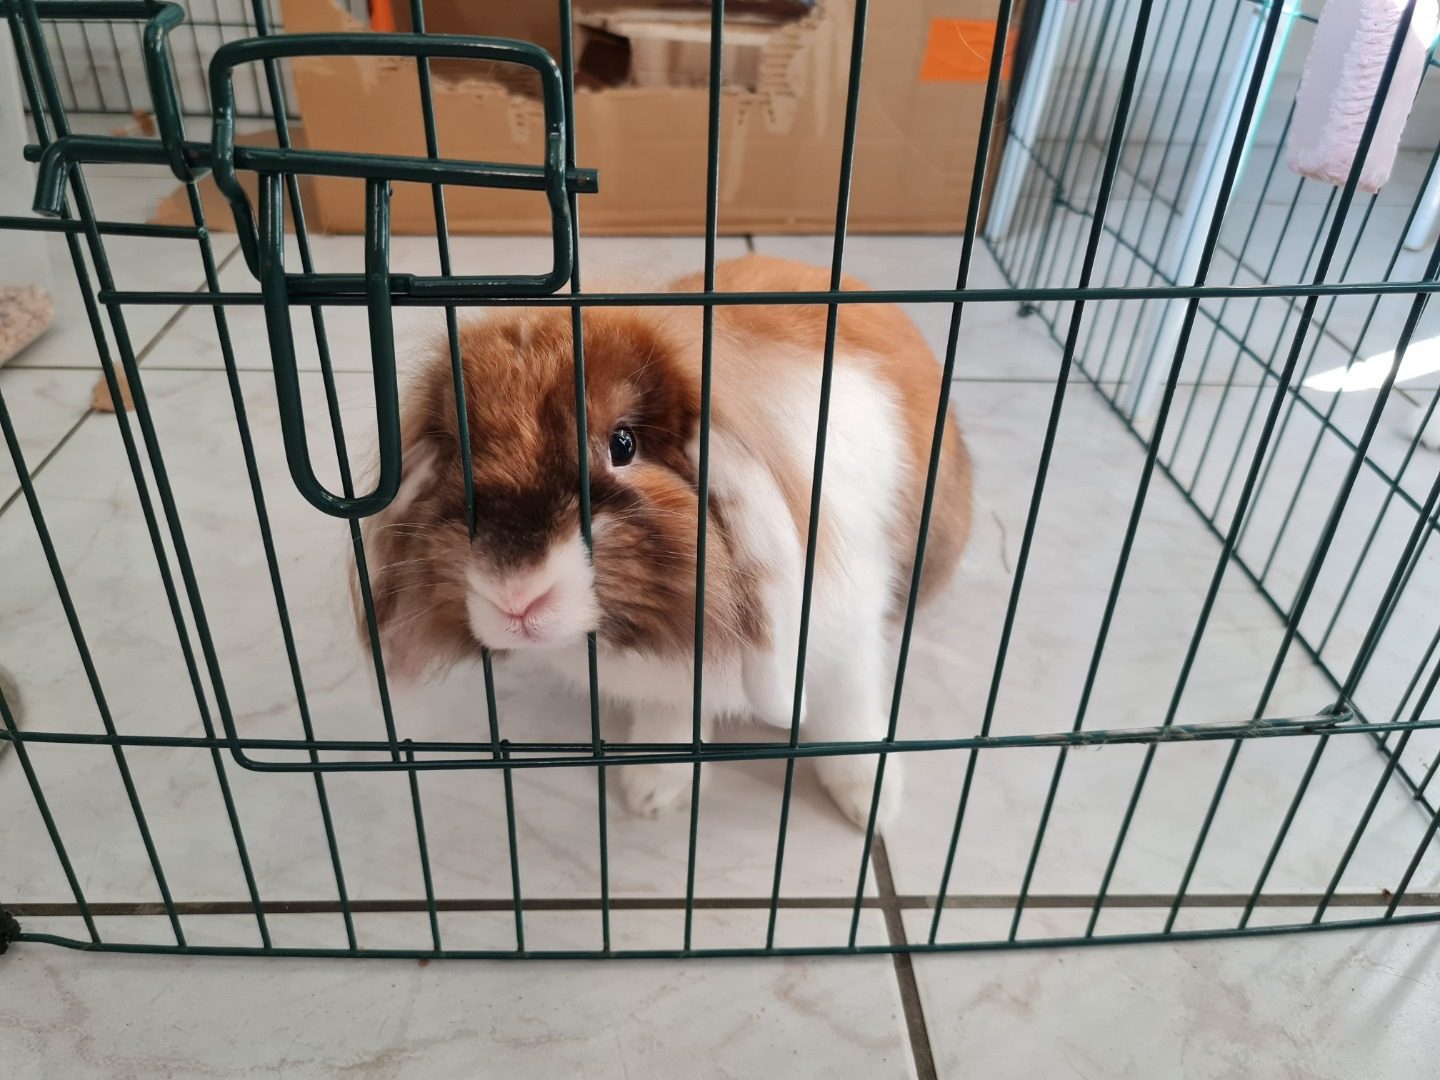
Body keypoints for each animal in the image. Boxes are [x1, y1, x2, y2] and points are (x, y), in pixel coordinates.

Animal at [358, 255, 972, 830]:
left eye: (624, 445)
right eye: (458, 458)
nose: (516, 596)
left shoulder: (848, 649)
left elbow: (851, 723)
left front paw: (872, 807)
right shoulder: (669, 689)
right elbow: (671, 722)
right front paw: (652, 793)